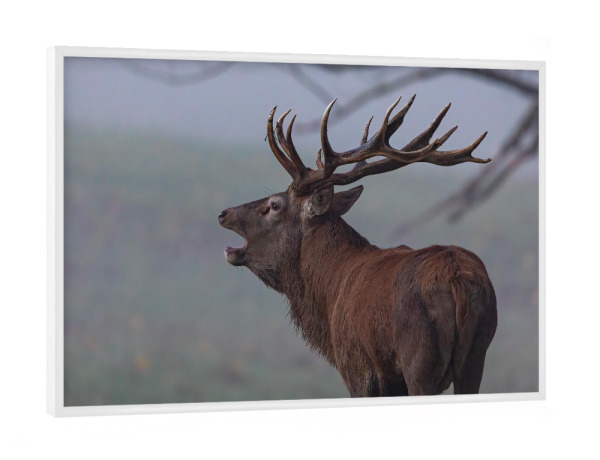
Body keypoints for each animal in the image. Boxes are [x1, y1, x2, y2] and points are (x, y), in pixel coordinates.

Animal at [218, 95, 497, 397]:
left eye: (274, 205)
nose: (223, 214)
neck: (328, 294)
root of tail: (459, 281)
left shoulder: (356, 368)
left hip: (419, 358)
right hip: (476, 356)